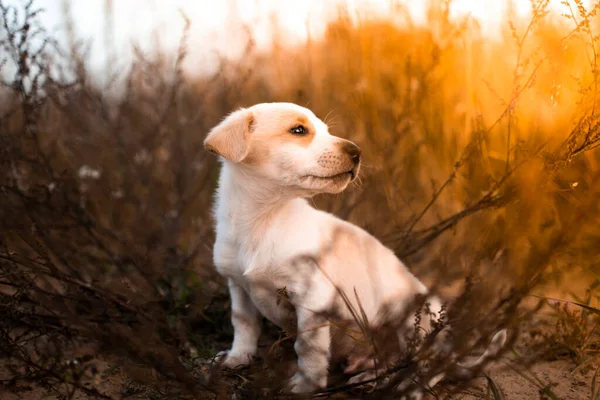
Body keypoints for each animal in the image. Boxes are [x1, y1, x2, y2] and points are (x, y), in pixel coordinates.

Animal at [204, 102, 504, 394]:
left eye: (326, 130)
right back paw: (370, 378)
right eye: (299, 130)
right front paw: (236, 358)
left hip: (412, 320)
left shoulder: (312, 301)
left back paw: (409, 389)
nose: (357, 152)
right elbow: (244, 325)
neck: (263, 221)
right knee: (391, 364)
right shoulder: (239, 287)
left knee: (428, 368)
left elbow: (308, 350)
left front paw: (305, 386)